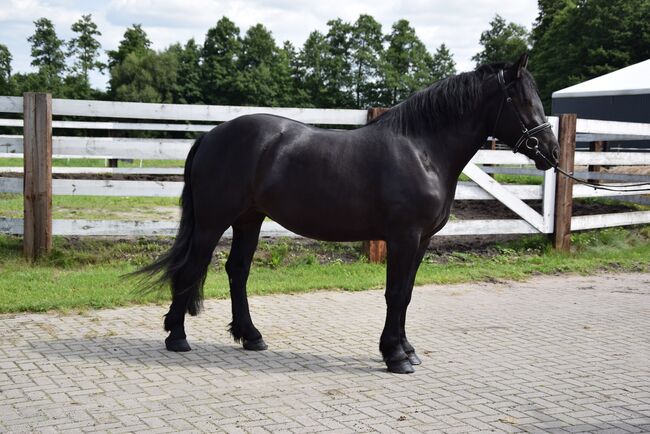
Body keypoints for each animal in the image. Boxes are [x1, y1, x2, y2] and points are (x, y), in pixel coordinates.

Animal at [136, 53, 560, 374]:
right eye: (521, 99)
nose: (552, 152)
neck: (421, 149)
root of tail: (211, 135)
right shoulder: (403, 238)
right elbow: (395, 294)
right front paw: (395, 356)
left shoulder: (421, 241)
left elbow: (407, 294)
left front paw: (407, 350)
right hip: (212, 222)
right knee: (191, 267)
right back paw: (177, 337)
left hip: (249, 220)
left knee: (237, 271)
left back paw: (251, 336)